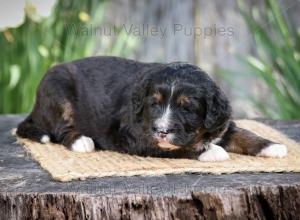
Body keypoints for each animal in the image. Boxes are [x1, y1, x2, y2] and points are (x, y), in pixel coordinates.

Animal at [15, 55, 286, 161]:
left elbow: (244, 134)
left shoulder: (221, 123)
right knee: (61, 128)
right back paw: (81, 141)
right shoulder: (138, 136)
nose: (161, 131)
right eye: (154, 104)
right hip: (57, 89)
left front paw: (273, 146)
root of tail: (35, 108)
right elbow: (181, 148)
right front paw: (212, 152)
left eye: (187, 109)